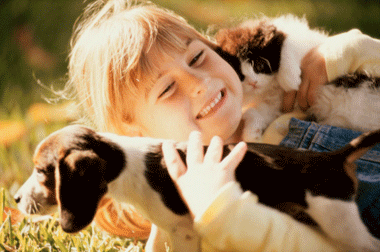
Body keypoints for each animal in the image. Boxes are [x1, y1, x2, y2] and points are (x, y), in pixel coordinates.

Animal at [13, 125, 380, 251]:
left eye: (42, 172)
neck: (127, 163)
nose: (14, 198)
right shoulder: (165, 227)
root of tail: (334, 157)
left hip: (339, 221)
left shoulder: (185, 232)